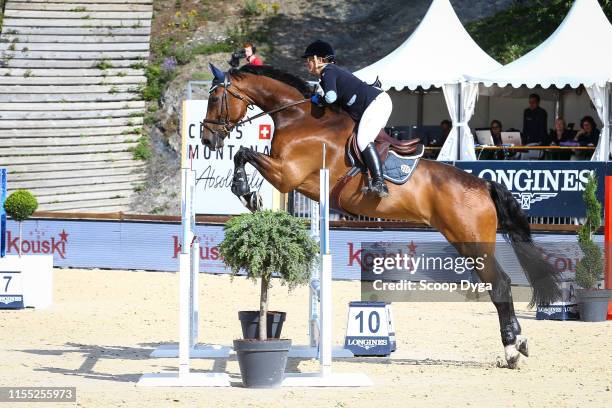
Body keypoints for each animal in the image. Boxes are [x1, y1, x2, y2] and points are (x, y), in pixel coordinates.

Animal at [201, 63, 560, 370]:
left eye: (215, 98)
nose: (206, 138)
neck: (299, 117)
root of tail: (483, 184)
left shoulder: (287, 174)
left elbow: (243, 153)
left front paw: (246, 192)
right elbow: (243, 154)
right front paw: (247, 193)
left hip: (472, 242)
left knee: (499, 284)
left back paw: (512, 350)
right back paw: (519, 343)